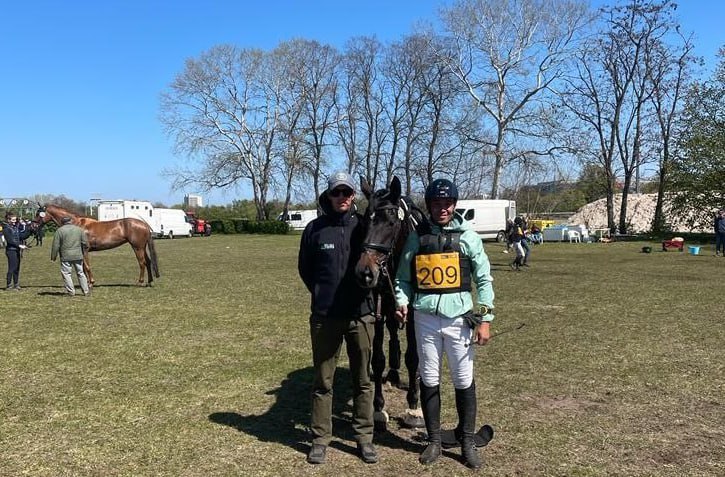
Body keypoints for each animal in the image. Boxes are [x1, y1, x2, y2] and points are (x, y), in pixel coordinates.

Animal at [355, 176, 425, 431]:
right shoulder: (379, 308)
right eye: (365, 222)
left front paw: (414, 407)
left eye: (391, 222)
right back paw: (393, 369)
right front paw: (378, 408)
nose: (365, 273)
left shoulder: (413, 313)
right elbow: (377, 359)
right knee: (393, 331)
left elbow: (413, 357)